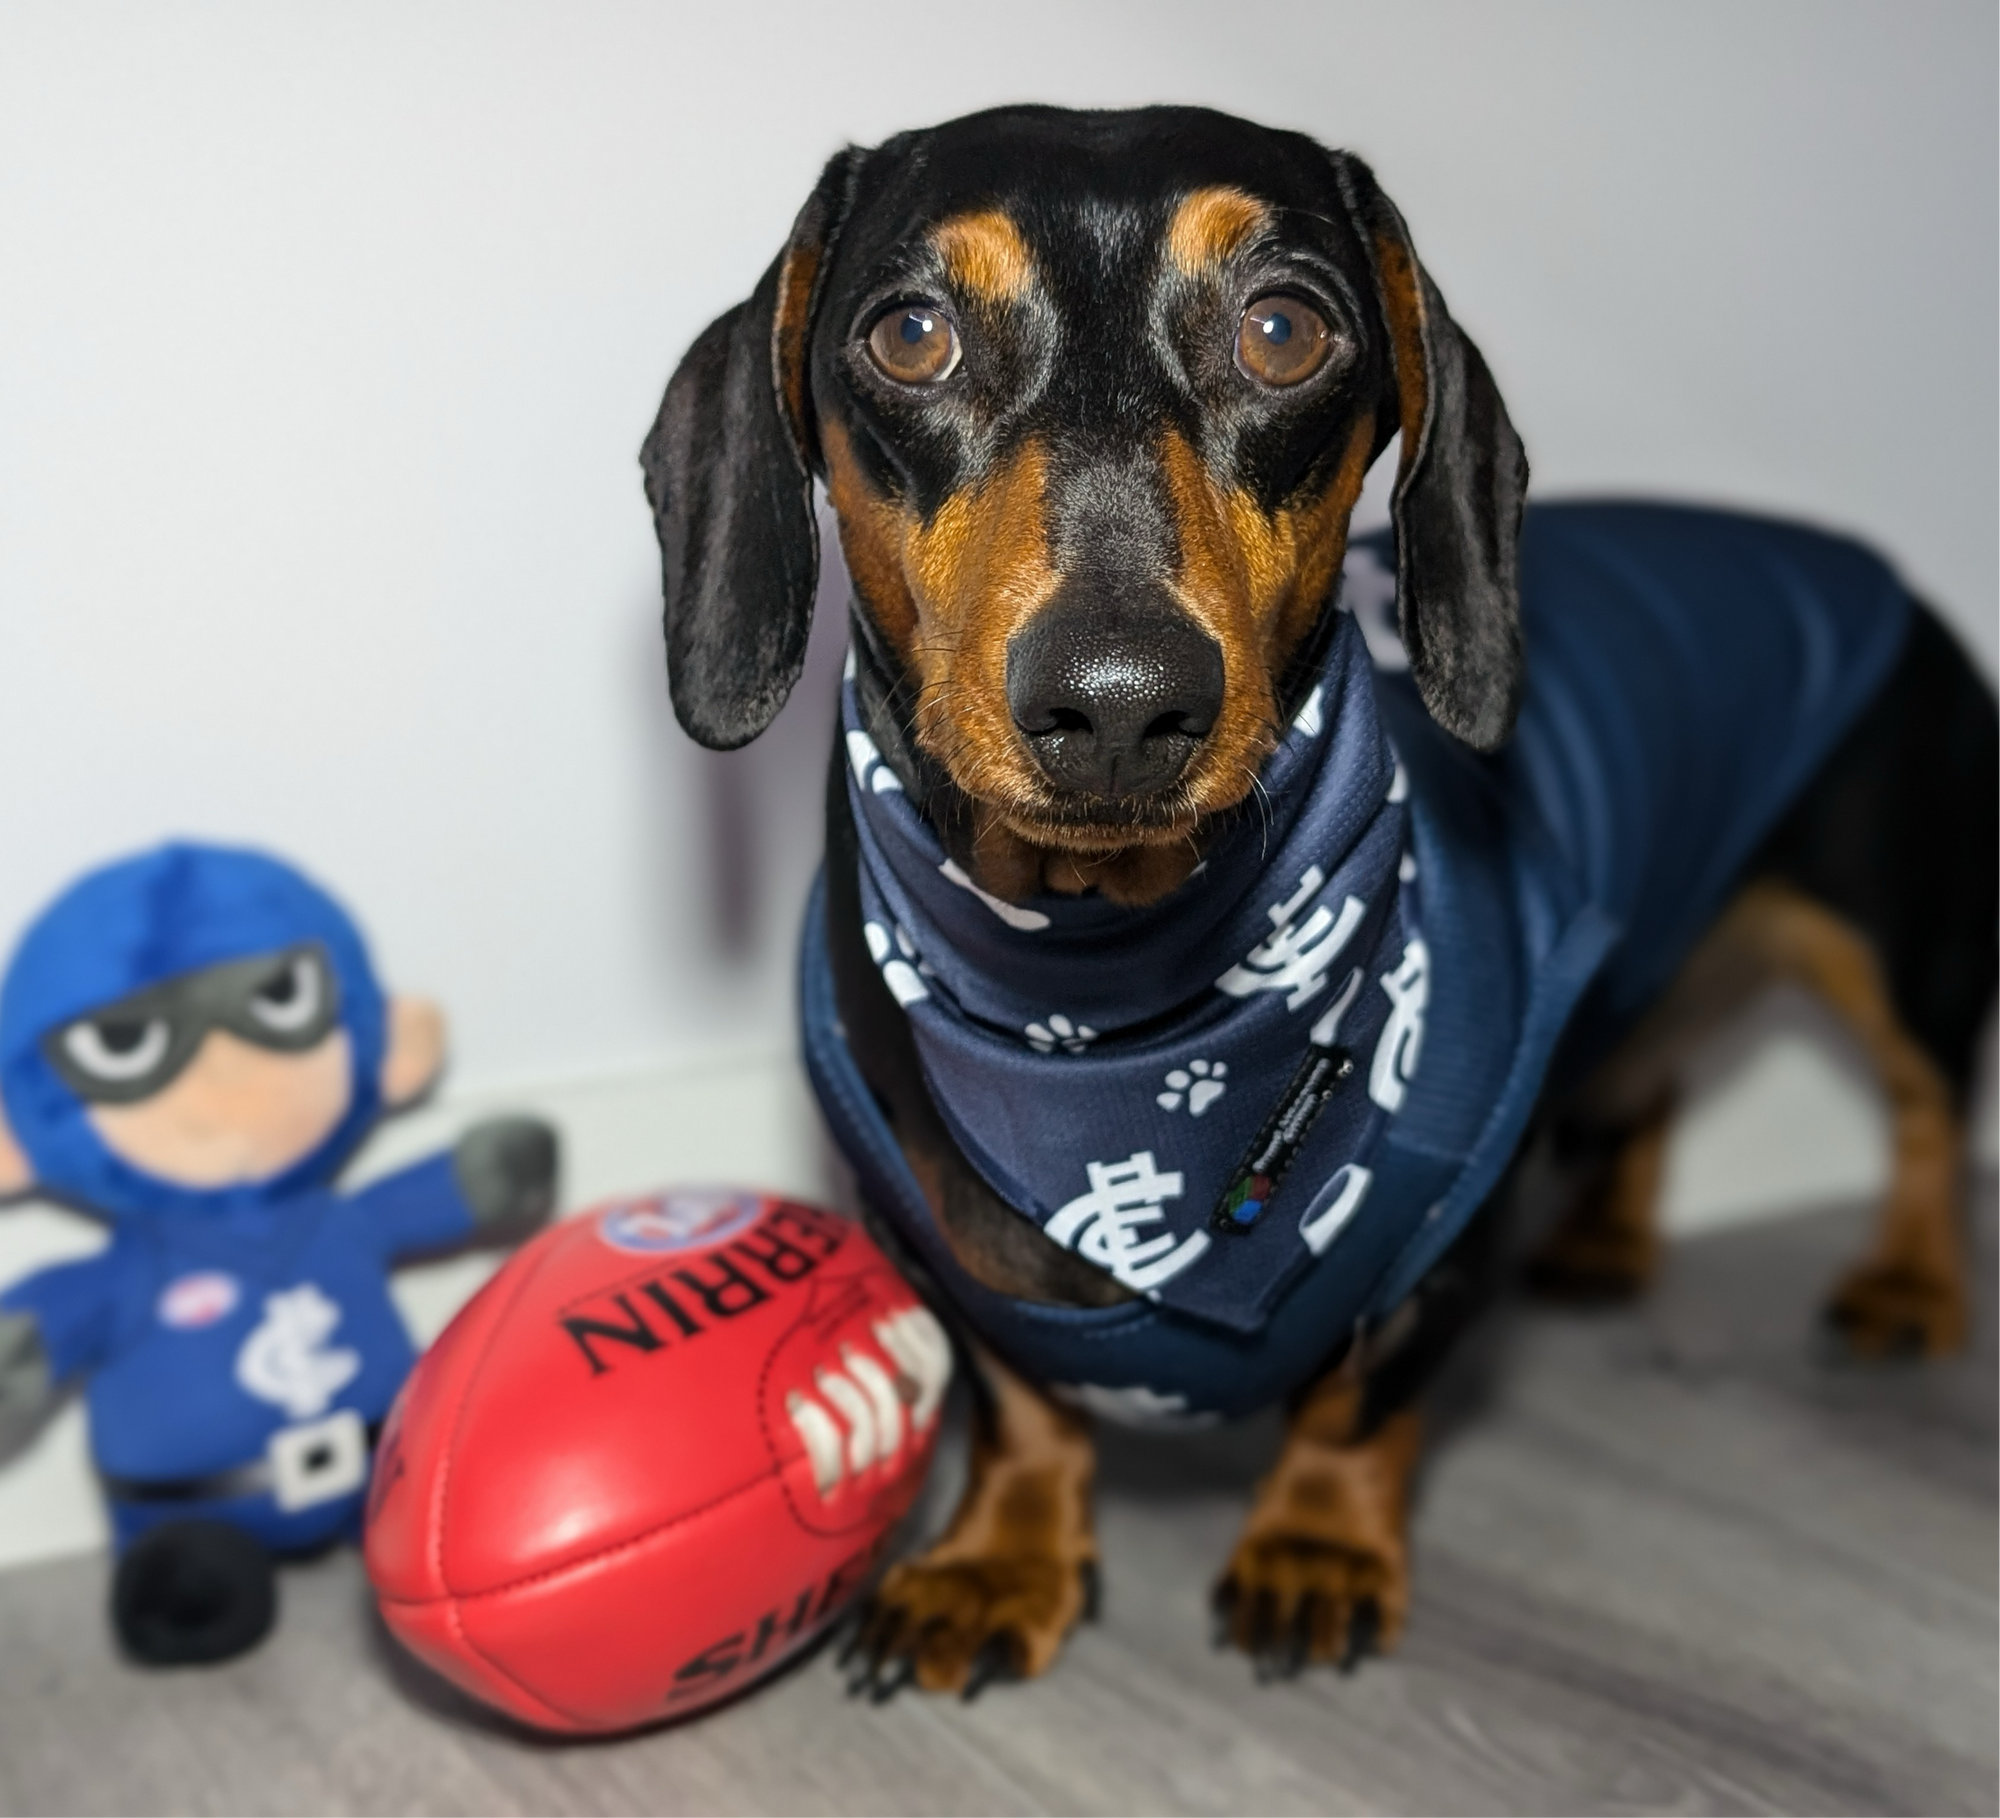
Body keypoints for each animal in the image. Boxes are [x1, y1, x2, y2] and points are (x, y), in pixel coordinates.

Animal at [644, 99, 2000, 1688]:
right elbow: (1018, 1394)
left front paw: (1316, 1541)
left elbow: (1363, 1398)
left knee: (1923, 1113)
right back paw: (1611, 1238)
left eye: (1284, 328)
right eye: (910, 332)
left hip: (1899, 940)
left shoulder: (1455, 1197)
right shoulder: (919, 1217)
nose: (1118, 703)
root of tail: (1866, 563)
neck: (1096, 1002)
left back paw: (1909, 1282)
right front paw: (998, 1558)